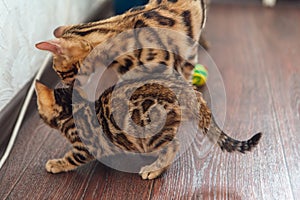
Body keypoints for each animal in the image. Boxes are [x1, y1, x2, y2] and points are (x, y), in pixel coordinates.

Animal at [34, 74, 262, 180]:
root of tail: (189, 90)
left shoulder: (85, 146)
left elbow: (72, 158)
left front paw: (56, 164)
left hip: (149, 132)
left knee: (173, 146)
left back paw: (153, 169)